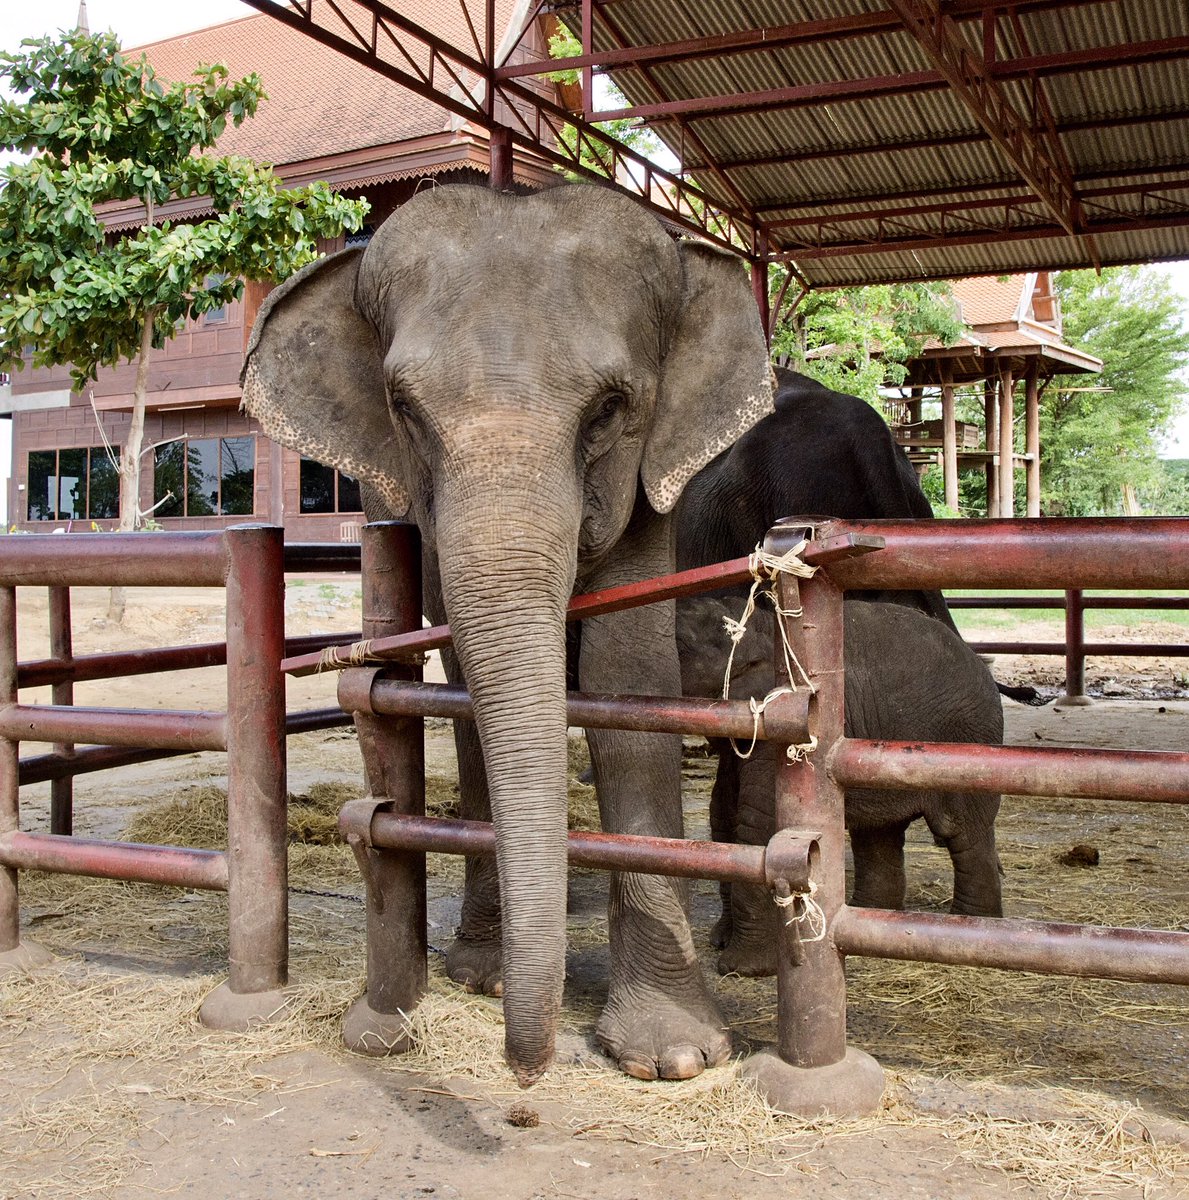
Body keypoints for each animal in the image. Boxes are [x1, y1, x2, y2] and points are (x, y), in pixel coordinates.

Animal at [240, 183, 775, 1085]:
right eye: (405, 411)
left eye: (609, 410)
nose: (524, 1074)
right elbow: (465, 683)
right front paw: (483, 978)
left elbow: (630, 679)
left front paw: (671, 1057)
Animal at [676, 593, 1004, 978]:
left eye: (680, 645)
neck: (762, 623)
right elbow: (722, 815)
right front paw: (720, 941)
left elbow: (755, 823)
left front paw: (741, 969)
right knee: (878, 832)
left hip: (970, 741)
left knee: (961, 832)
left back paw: (972, 932)